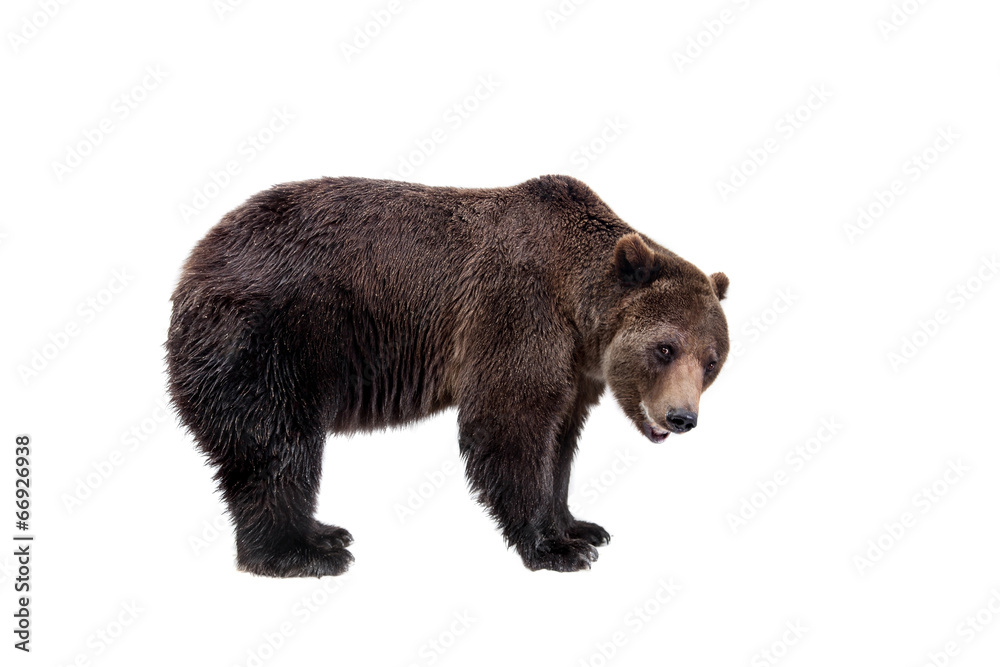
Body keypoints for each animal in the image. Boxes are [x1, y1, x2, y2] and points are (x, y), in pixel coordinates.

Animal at [166, 174, 729, 577]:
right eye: (665, 348)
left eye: (712, 360)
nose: (681, 418)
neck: (578, 308)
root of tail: (194, 261)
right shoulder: (517, 312)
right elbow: (510, 423)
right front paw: (556, 548)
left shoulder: (576, 368)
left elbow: (560, 441)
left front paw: (581, 527)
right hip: (271, 338)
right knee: (276, 442)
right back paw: (302, 552)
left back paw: (323, 533)